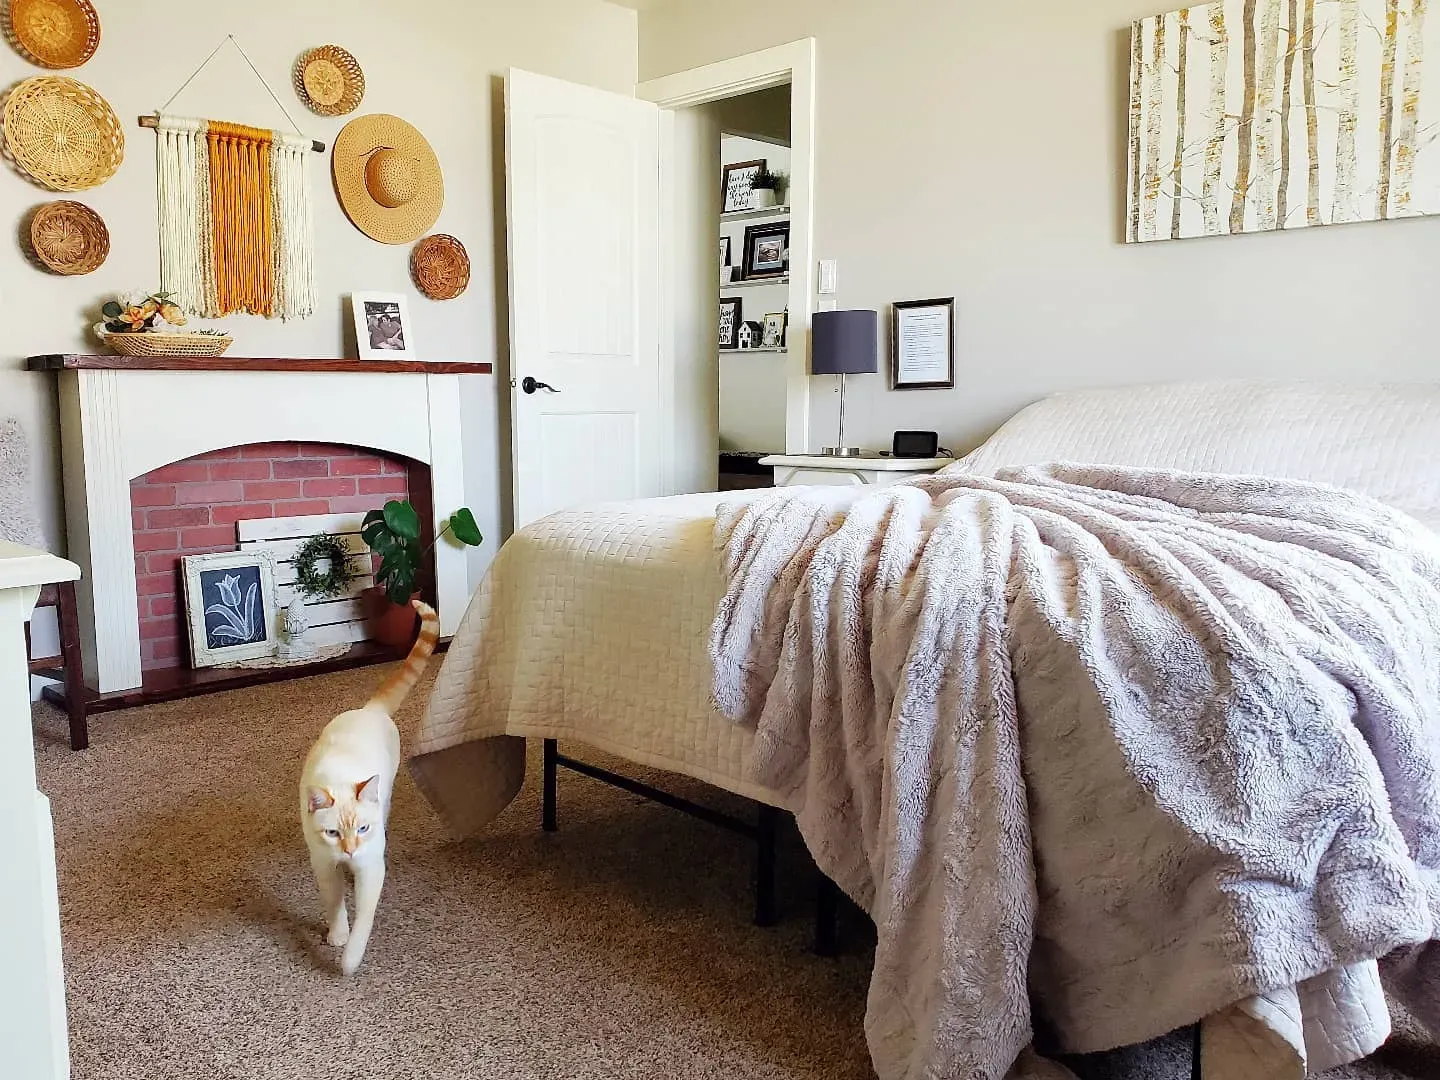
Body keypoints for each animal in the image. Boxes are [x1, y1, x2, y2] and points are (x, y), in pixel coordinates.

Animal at [299, 601, 434, 979]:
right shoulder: (322, 862)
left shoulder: (372, 867)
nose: (350, 850)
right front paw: (337, 935)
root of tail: (369, 710)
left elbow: (364, 919)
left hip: (385, 798)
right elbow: (334, 904)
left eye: (363, 828)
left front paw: (349, 961)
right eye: (332, 833)